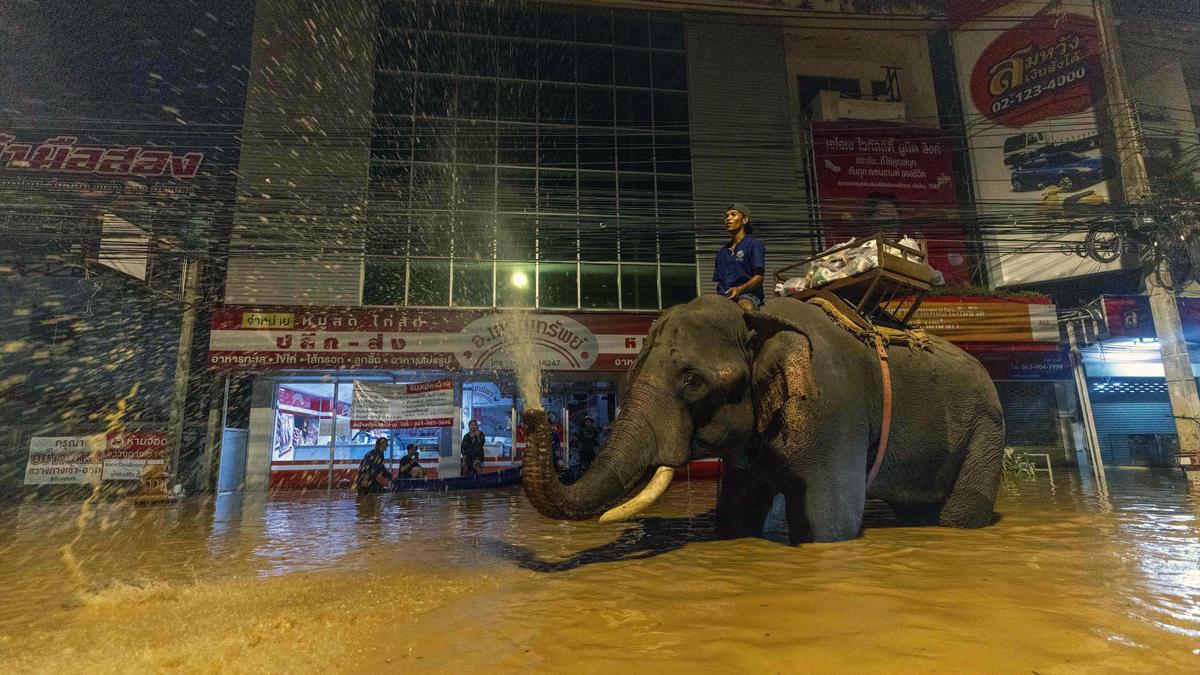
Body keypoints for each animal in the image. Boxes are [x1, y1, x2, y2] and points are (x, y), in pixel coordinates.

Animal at [523, 293, 1003, 540]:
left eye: (693, 381)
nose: (533, 413)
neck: (758, 317)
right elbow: (736, 512)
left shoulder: (834, 409)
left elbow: (831, 523)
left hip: (986, 427)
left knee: (960, 512)